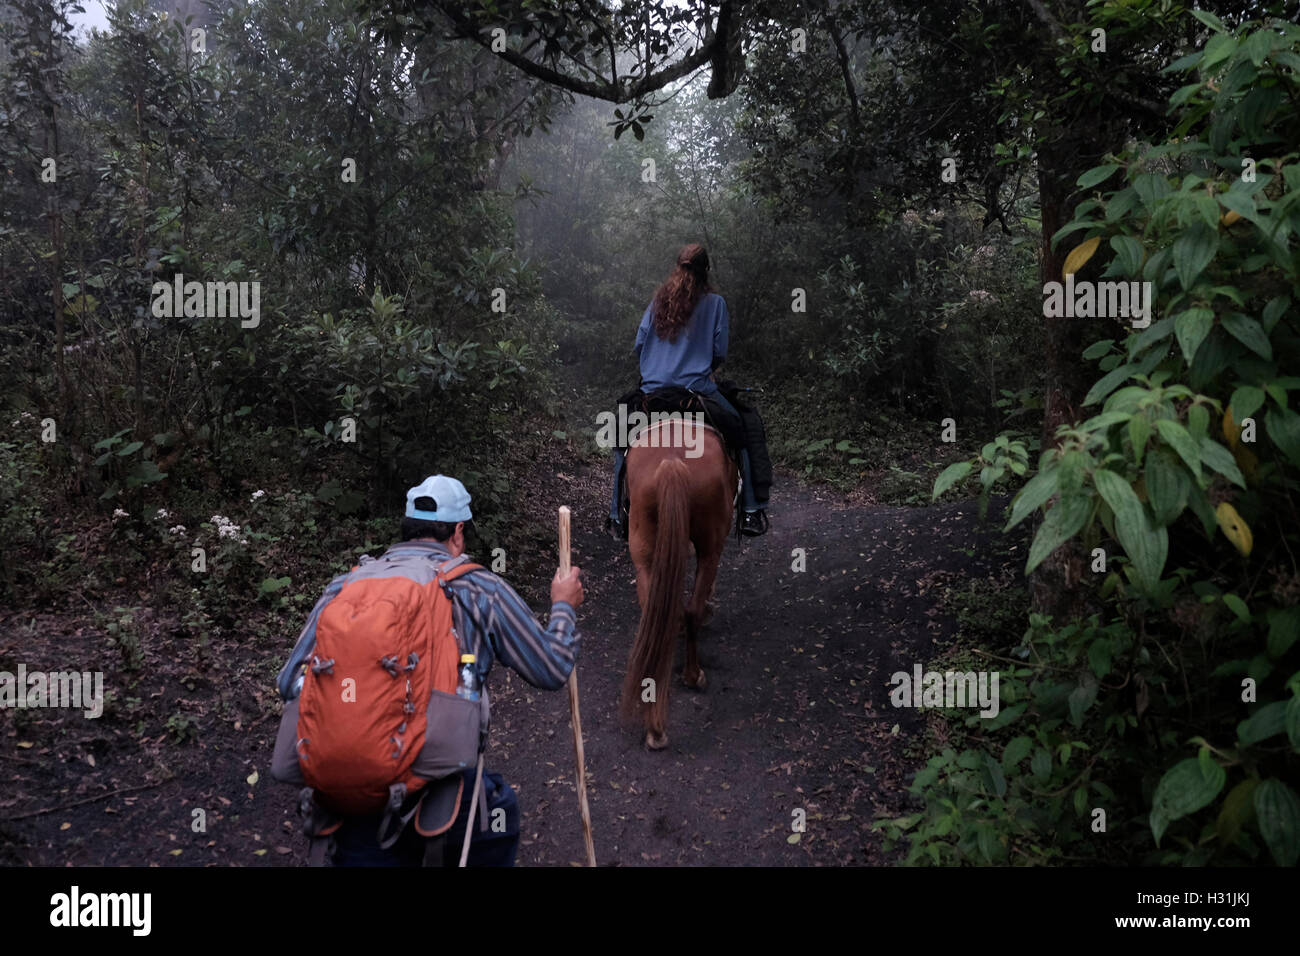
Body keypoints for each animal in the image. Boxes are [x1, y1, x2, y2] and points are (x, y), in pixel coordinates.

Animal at [616, 416, 738, 749]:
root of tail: (671, 460)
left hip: (644, 551)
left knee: (655, 608)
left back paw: (655, 727)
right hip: (712, 544)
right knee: (692, 607)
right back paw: (694, 675)